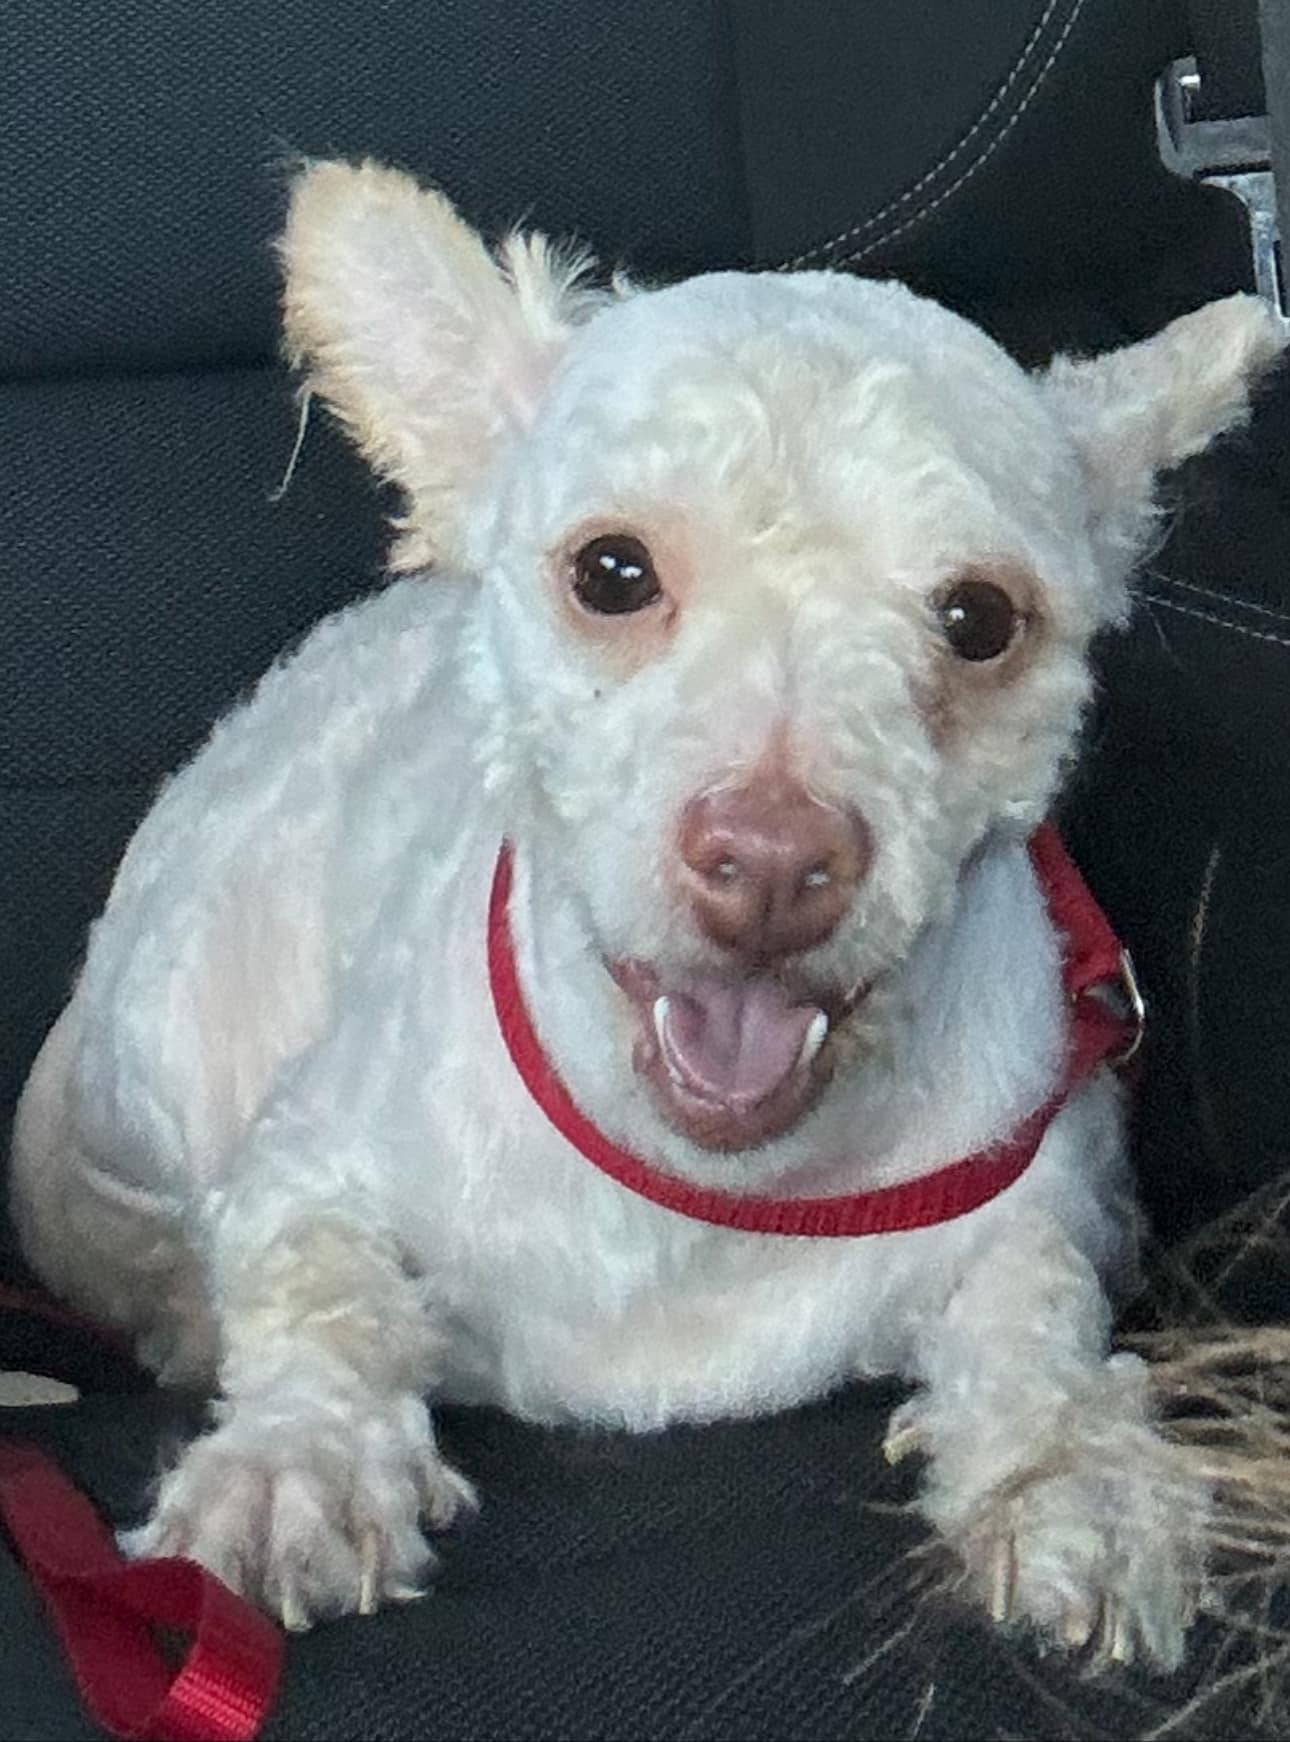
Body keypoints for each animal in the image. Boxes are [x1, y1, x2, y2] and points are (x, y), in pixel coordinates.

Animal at [12, 160, 1288, 1658]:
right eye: (612, 573)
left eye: (981, 618)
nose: (774, 858)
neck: (704, 1191)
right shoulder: (301, 1166)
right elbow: (319, 1293)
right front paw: (296, 1462)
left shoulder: (1054, 1190)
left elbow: (1035, 1310)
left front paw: (1069, 1466)